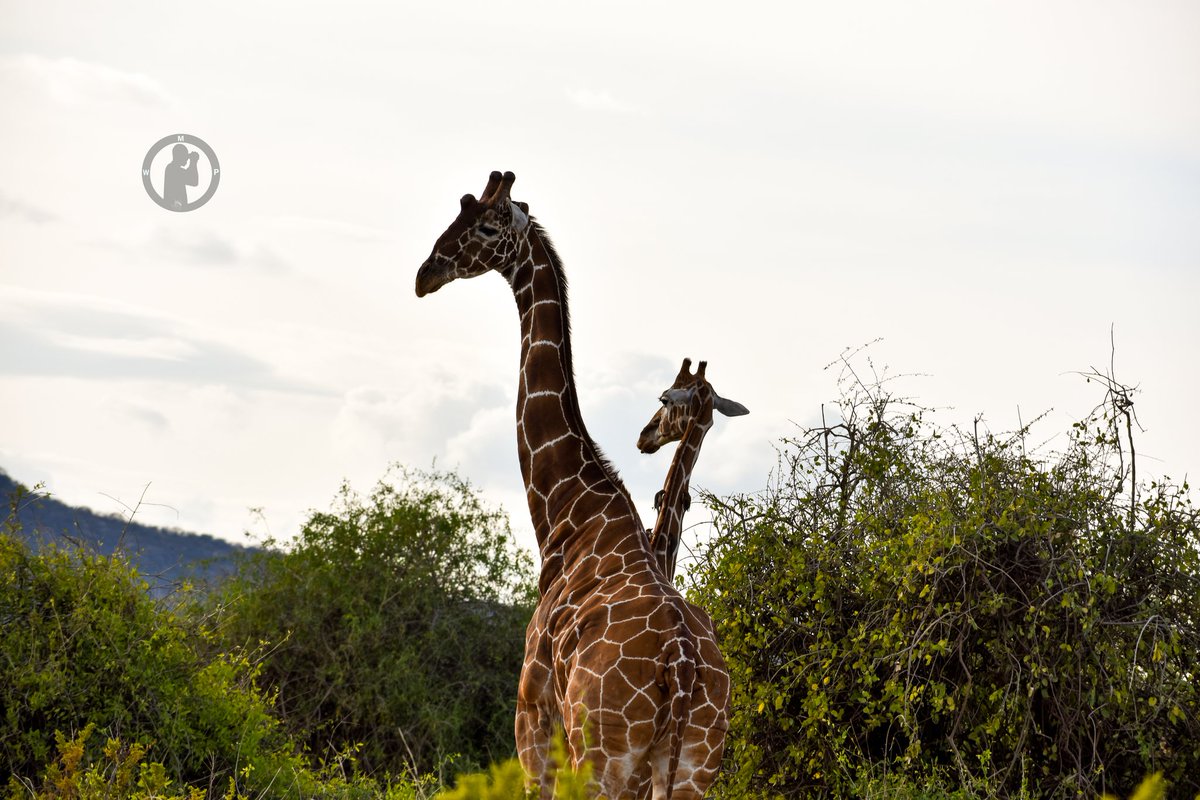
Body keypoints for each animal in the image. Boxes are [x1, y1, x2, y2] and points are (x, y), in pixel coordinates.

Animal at [412, 172, 729, 796]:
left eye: (488, 227)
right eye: (458, 212)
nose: (425, 274)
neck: (570, 513)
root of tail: (681, 666)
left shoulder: (533, 713)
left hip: (602, 756)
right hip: (693, 765)